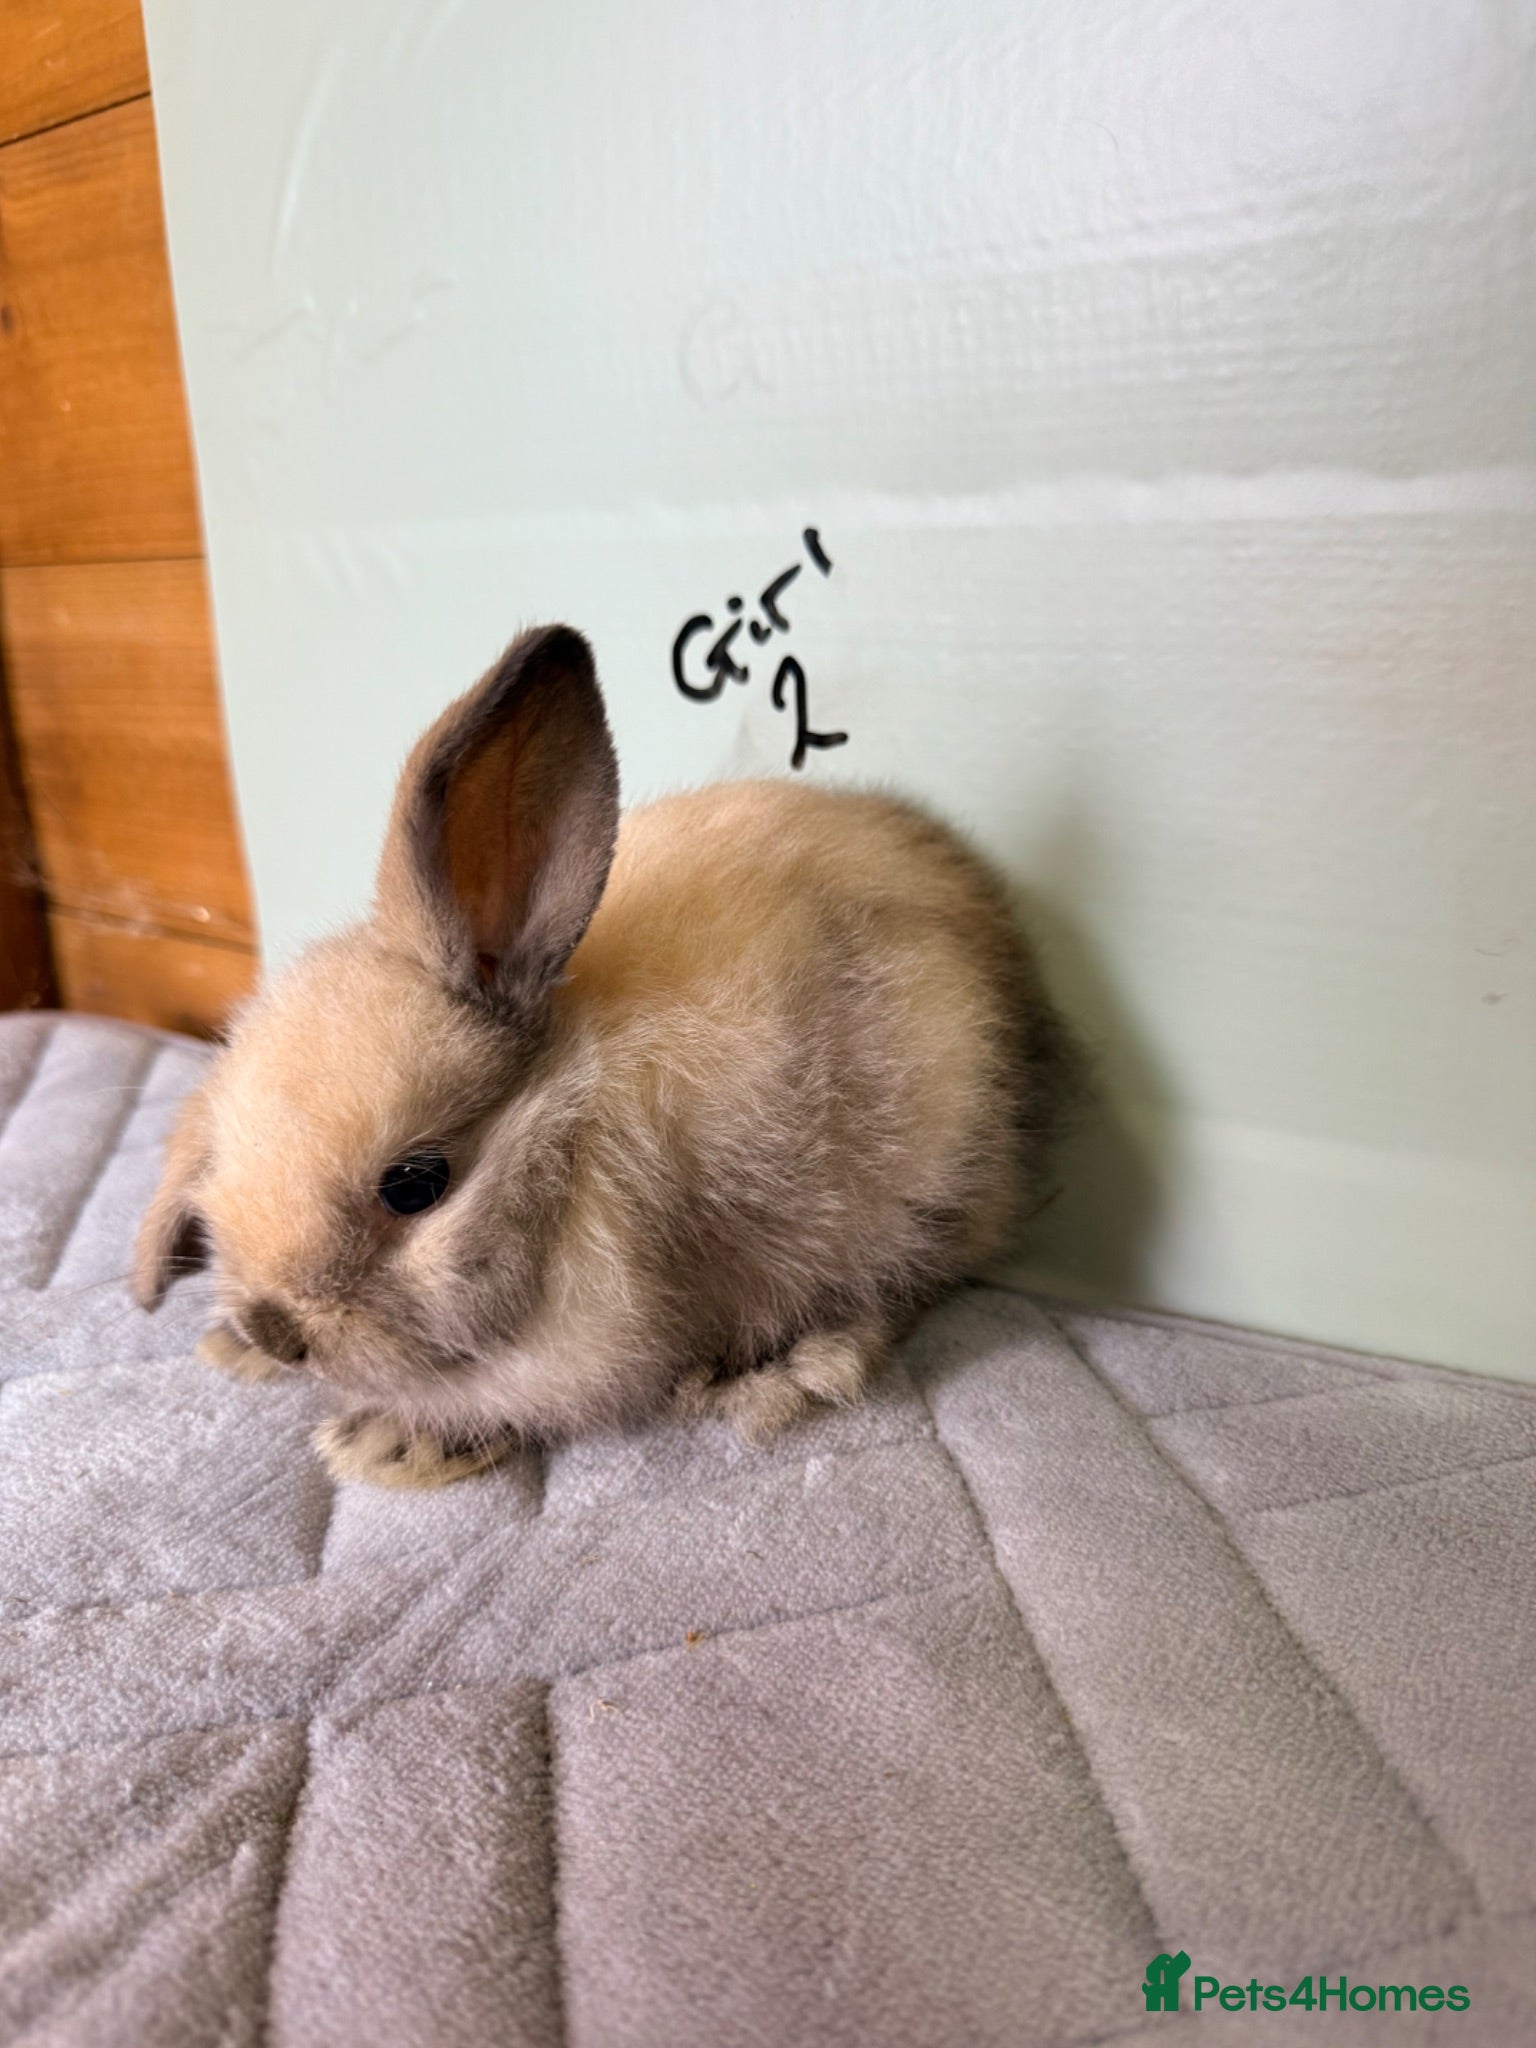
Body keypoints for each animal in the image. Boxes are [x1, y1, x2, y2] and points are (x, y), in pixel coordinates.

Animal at [133, 625, 1085, 1487]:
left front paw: (388, 1444)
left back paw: (785, 1368)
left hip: (932, 1152)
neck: (568, 1121)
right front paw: (237, 1354)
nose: (277, 1331)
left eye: (413, 1186)